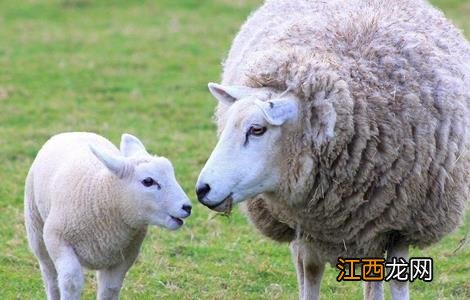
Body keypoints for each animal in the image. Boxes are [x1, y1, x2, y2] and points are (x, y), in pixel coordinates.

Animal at [24, 133, 191, 300]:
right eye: (148, 181)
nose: (187, 207)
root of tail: (73, 132)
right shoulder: (57, 239)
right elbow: (71, 283)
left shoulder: (126, 255)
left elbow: (109, 289)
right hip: (36, 229)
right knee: (50, 275)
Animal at [196, 1, 470, 298]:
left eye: (257, 129)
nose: (202, 189)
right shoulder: (308, 228)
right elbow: (310, 271)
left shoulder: (401, 225)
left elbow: (398, 281)